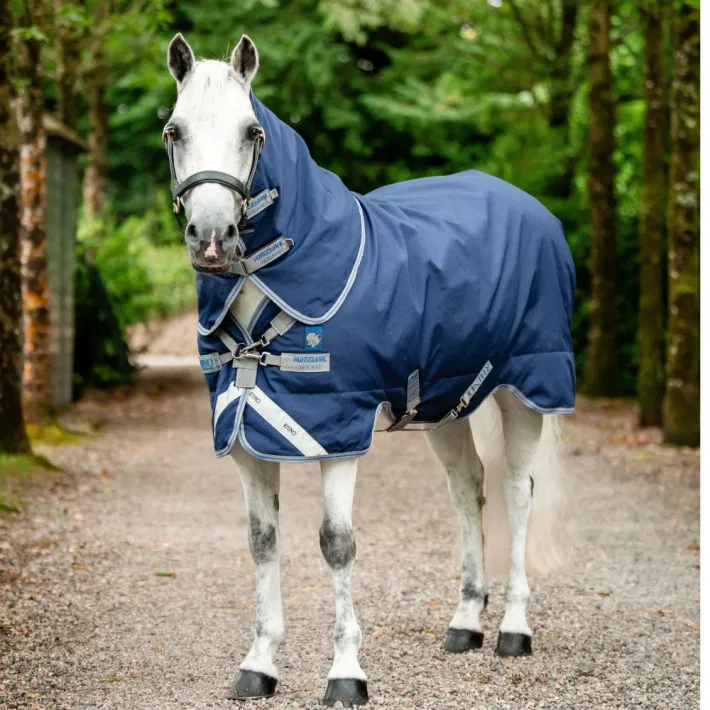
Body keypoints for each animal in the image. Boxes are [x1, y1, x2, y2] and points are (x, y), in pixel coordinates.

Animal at [163, 33, 575, 707]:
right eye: (175, 130)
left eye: (252, 132)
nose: (213, 238)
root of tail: (533, 210)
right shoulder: (246, 434)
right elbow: (261, 541)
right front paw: (259, 664)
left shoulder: (335, 433)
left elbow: (337, 544)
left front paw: (346, 673)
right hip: (445, 405)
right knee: (469, 489)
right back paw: (466, 622)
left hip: (525, 390)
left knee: (518, 491)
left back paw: (514, 628)